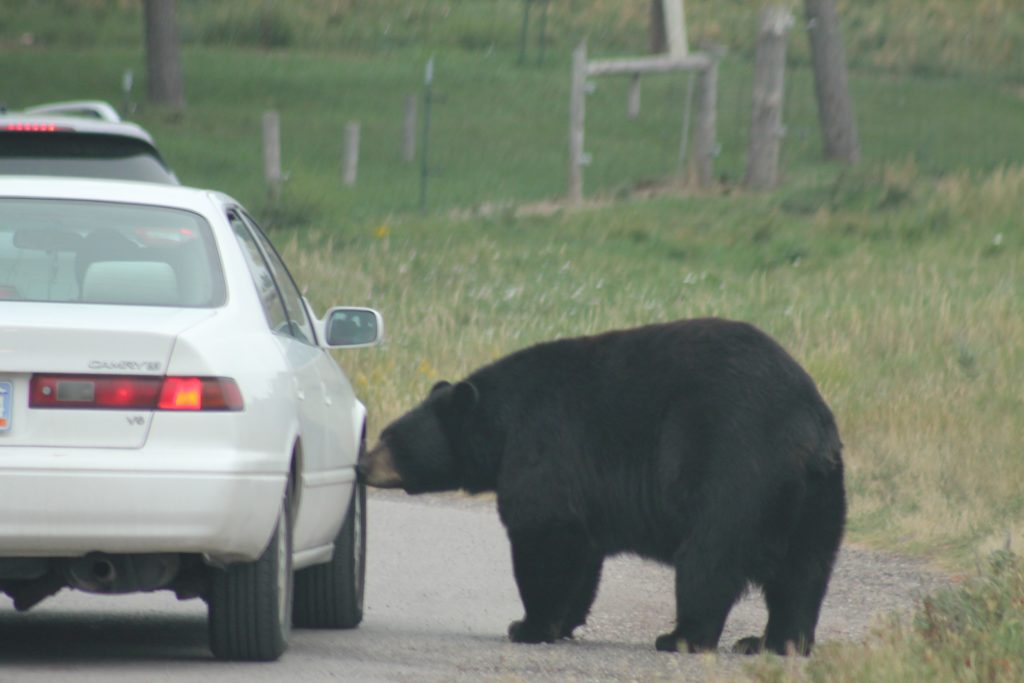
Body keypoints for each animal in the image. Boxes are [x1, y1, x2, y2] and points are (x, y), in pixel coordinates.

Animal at [362, 317, 847, 655]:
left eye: (391, 439)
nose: (362, 463)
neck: (501, 422)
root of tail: (809, 428)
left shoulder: (544, 444)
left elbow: (543, 536)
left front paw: (528, 626)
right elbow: (582, 556)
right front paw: (560, 624)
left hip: (734, 471)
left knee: (708, 559)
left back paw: (681, 637)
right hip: (819, 497)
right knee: (804, 572)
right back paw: (774, 642)